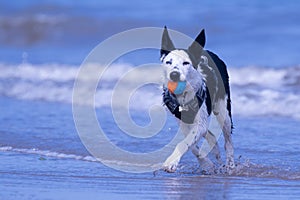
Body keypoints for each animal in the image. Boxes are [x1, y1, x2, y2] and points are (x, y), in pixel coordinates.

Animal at [161, 26, 236, 173]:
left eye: (186, 63)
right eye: (168, 62)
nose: (174, 74)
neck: (184, 94)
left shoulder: (199, 122)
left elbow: (184, 143)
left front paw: (170, 162)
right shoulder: (182, 121)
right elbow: (191, 144)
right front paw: (206, 164)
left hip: (223, 110)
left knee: (228, 141)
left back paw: (230, 166)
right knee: (210, 135)